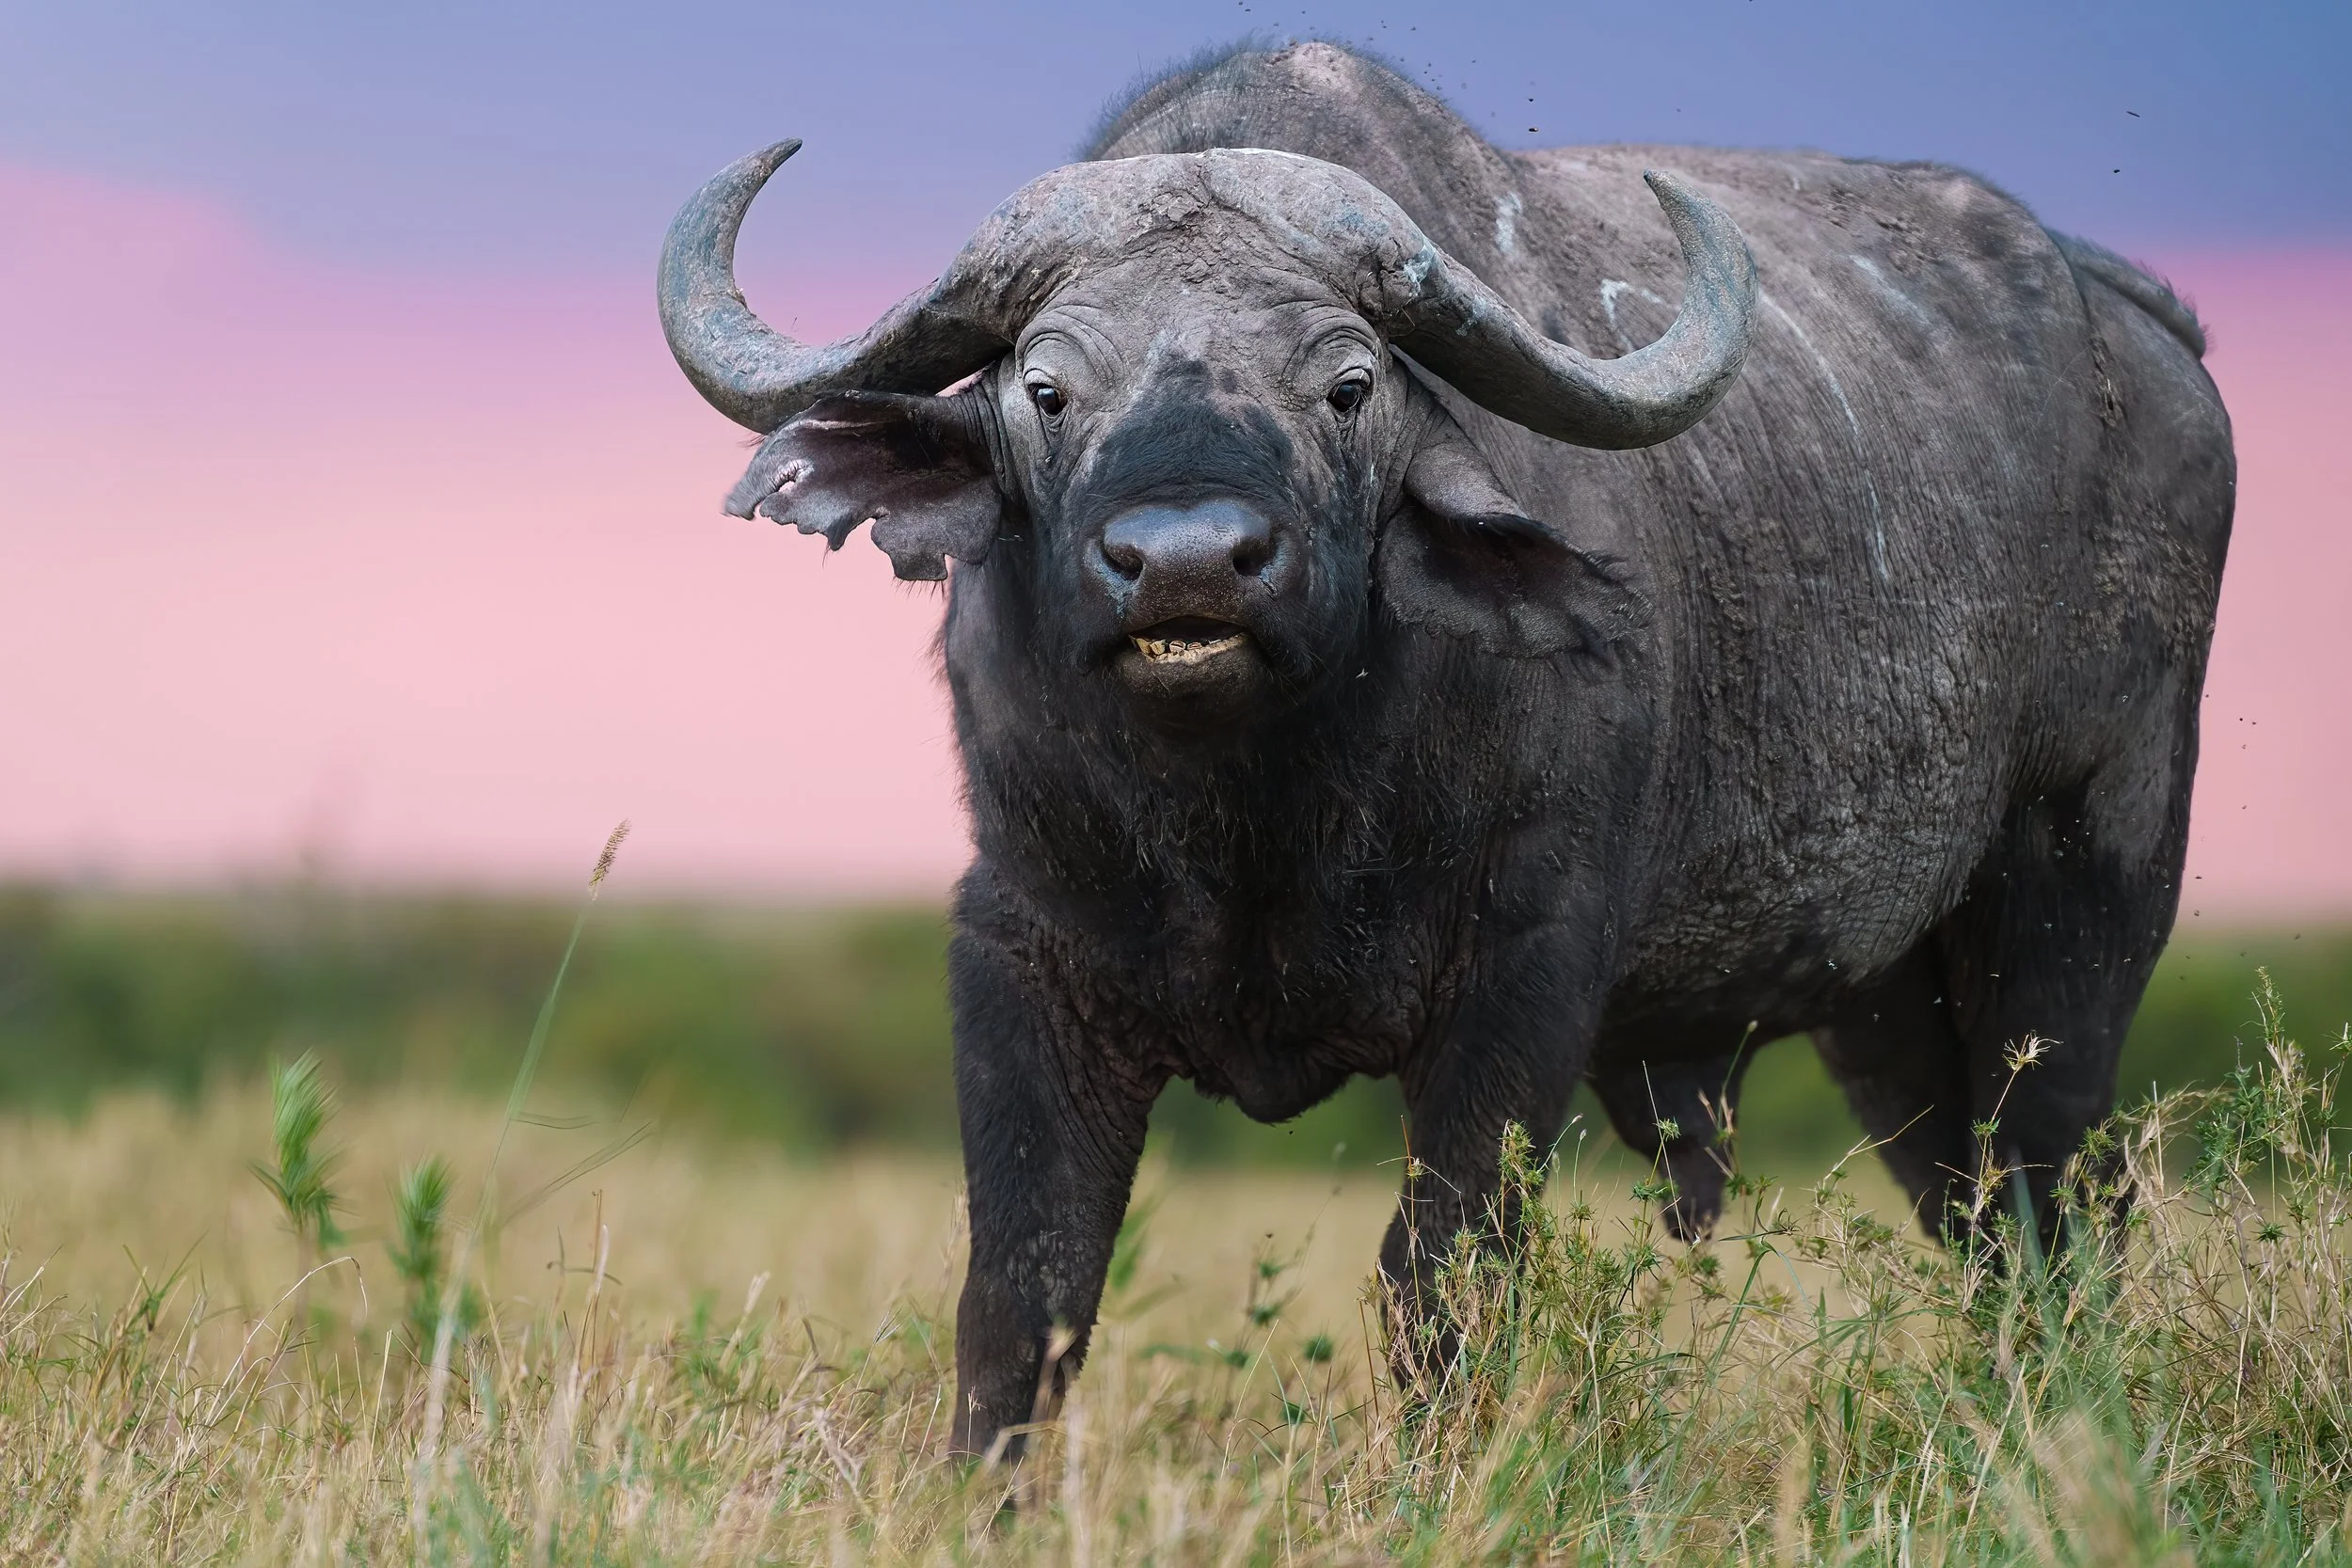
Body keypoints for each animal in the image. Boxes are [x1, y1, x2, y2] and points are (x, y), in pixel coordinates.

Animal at [658, 43, 2231, 1460]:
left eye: (1348, 385)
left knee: (2054, 1192)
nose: (1188, 562)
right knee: (1975, 1213)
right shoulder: (1021, 948)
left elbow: (1445, 1278)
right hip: (1890, 1006)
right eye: (1047, 389)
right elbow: (1026, 1286)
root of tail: (2139, 322)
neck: (1256, 815)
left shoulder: (1528, 974)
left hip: (2079, 901)